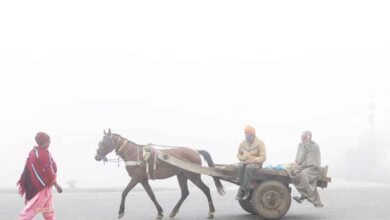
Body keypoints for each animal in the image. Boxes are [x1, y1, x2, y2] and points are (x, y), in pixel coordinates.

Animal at [93, 128, 225, 219]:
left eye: (105, 142)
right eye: (100, 142)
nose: (96, 156)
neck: (135, 155)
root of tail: (195, 151)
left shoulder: (136, 178)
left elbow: (124, 192)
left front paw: (121, 212)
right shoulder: (143, 180)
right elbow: (151, 195)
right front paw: (160, 212)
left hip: (193, 175)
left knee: (206, 189)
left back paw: (211, 211)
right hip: (181, 175)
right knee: (185, 193)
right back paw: (173, 211)